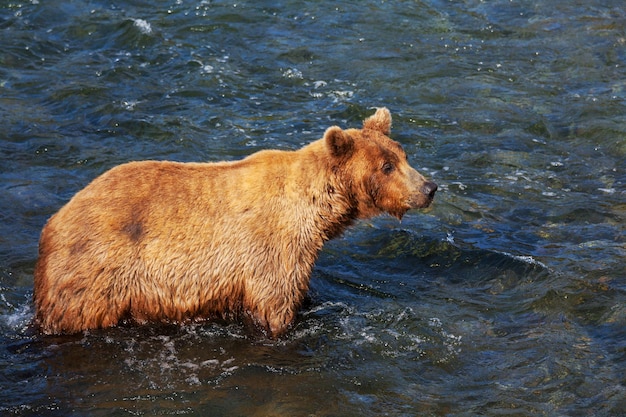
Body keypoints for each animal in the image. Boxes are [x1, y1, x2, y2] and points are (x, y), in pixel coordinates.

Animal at [33, 106, 434, 334]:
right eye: (386, 166)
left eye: (403, 154)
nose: (429, 187)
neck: (316, 211)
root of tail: (55, 221)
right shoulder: (271, 253)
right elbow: (276, 308)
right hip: (98, 274)